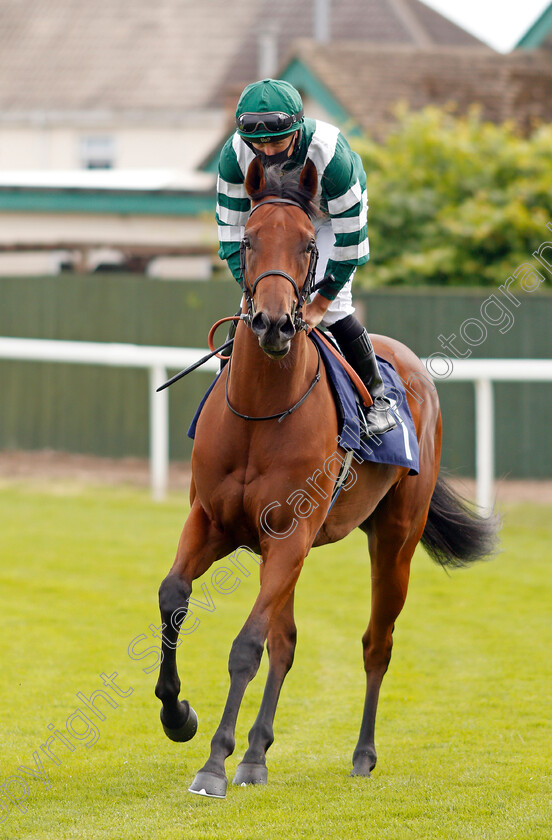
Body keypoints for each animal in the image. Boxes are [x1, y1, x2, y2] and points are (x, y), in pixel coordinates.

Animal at [153, 156, 498, 796]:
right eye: (248, 240)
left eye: (309, 245)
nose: (272, 324)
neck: (261, 412)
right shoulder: (214, 522)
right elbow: (174, 597)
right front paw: (177, 715)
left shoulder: (291, 536)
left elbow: (247, 644)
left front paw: (213, 762)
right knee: (287, 642)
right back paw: (257, 754)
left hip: (393, 542)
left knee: (376, 644)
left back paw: (361, 754)